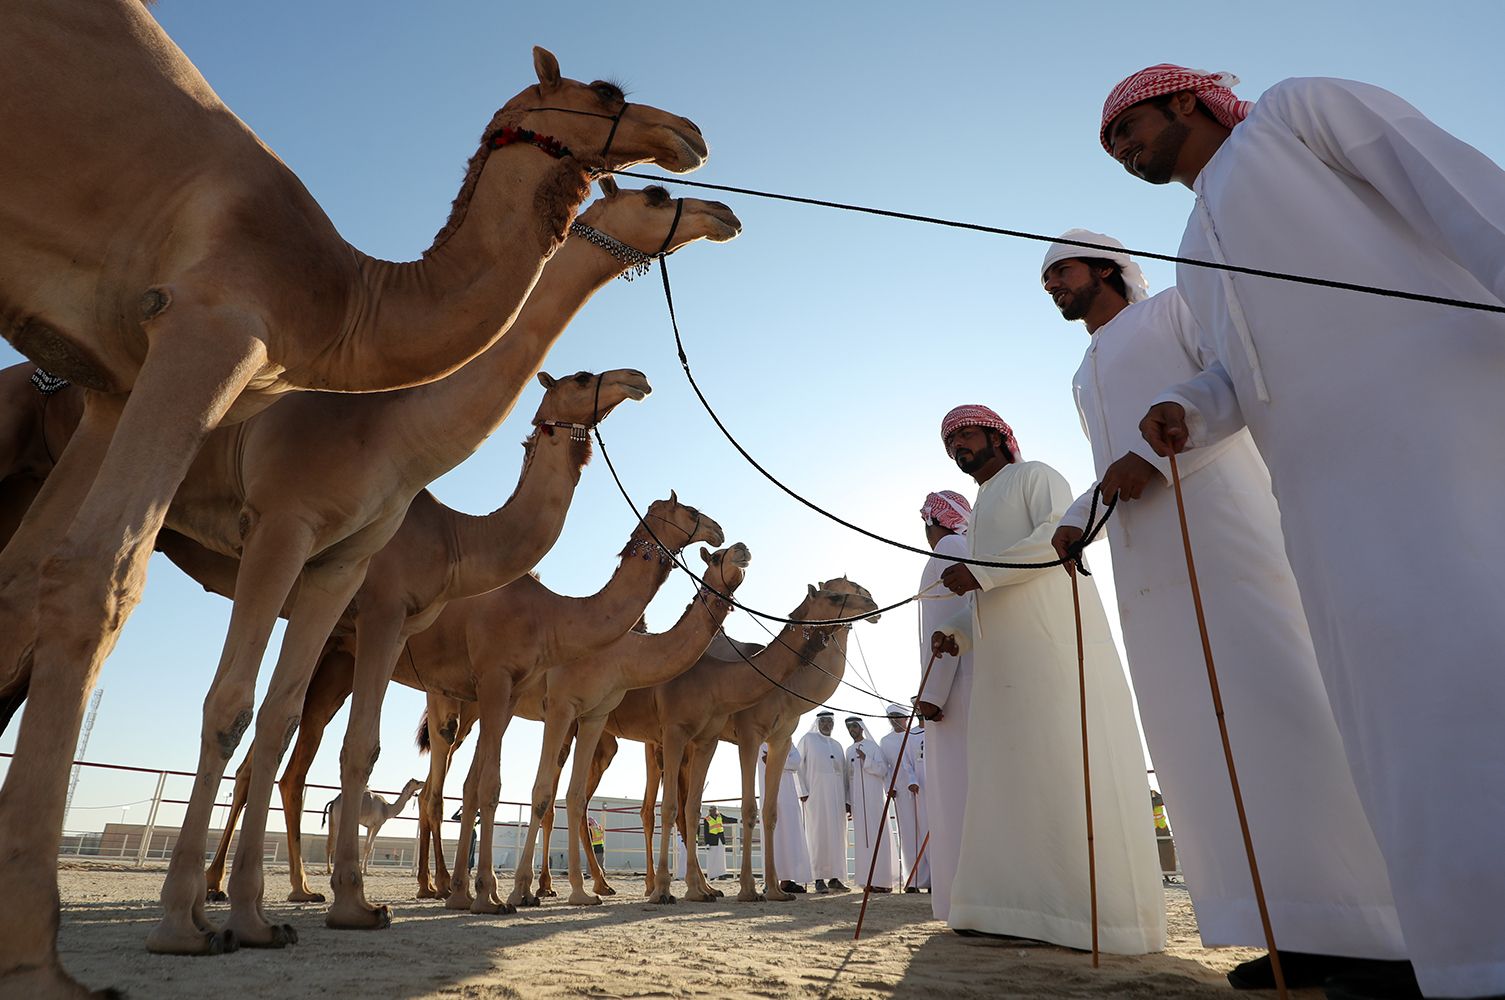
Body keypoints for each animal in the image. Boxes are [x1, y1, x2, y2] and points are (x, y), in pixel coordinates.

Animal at [1, 0, 704, 981]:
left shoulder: (350, 584)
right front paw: (196, 921)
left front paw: (320, 909)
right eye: (607, 92)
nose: (698, 152)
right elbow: (240, 709)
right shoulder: (300, 538)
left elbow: (314, 734)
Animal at [505, 542, 752, 909]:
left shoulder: (670, 741)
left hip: (604, 743)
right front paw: (666, 886)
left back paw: (594, 883)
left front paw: (698, 886)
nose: (742, 549)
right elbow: (663, 810)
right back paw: (550, 885)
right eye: (718, 556)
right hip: (572, 725)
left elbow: (678, 809)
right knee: (561, 800)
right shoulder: (665, 737)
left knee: (577, 800)